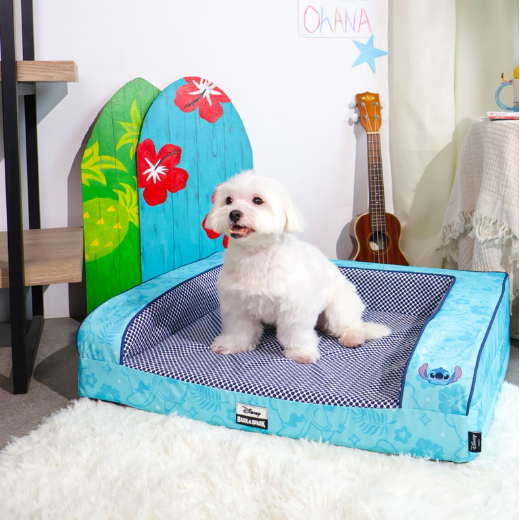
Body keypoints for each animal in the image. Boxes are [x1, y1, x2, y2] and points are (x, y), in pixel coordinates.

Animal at [206, 171, 390, 364]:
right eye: (228, 200)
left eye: (257, 200)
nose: (234, 213)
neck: (255, 255)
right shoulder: (237, 304)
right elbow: (239, 329)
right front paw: (232, 345)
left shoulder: (295, 305)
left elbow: (296, 332)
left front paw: (301, 352)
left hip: (339, 308)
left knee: (350, 325)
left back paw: (353, 337)